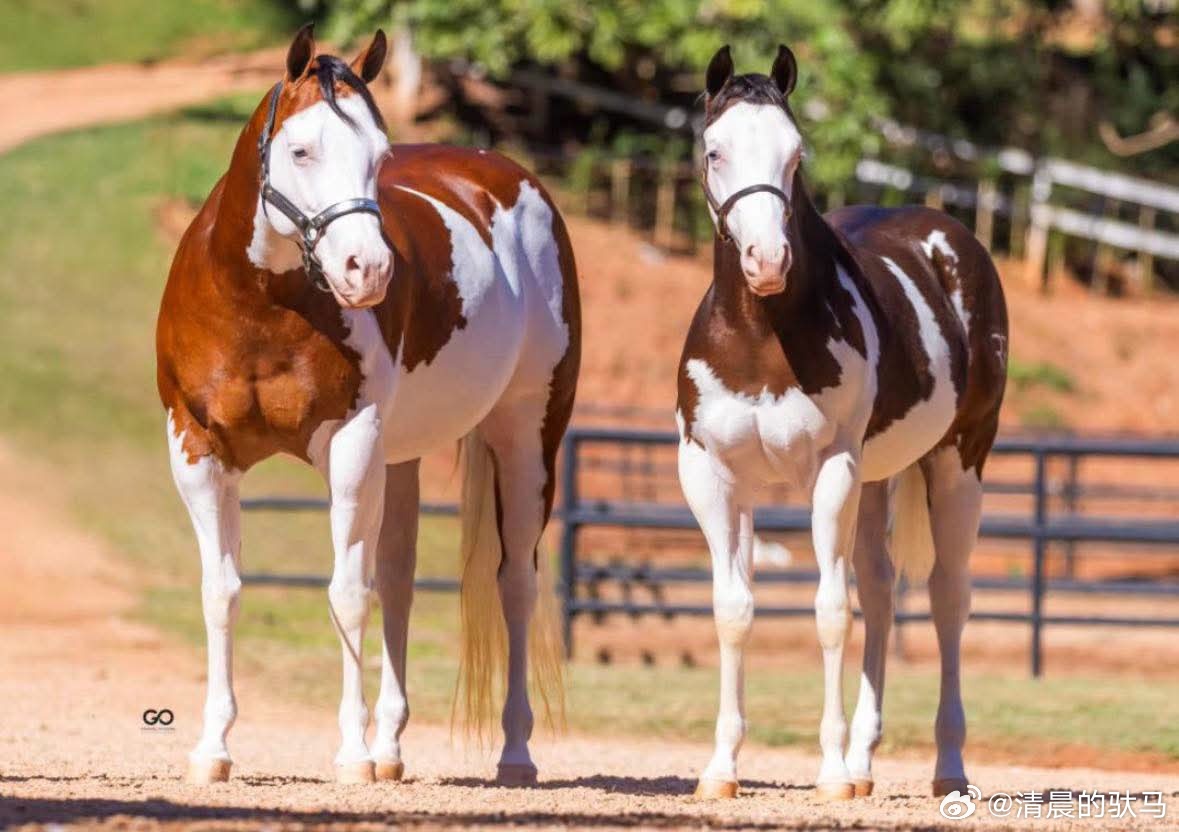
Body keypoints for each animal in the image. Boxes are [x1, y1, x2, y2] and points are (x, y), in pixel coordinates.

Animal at [156, 24, 580, 785]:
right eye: (300, 150)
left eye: (378, 157)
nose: (369, 271)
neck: (260, 306)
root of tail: (509, 177)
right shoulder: (197, 450)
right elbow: (221, 591)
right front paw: (213, 749)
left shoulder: (351, 445)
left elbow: (347, 593)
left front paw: (349, 754)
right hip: (401, 458)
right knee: (401, 581)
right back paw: (390, 751)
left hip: (526, 440)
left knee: (514, 585)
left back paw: (514, 752)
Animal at [677, 45, 1008, 801]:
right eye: (714, 151)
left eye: (795, 153)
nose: (767, 262)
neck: (761, 338)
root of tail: (946, 235)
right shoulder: (711, 474)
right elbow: (733, 610)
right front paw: (720, 769)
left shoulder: (832, 470)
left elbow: (831, 613)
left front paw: (826, 772)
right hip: (879, 478)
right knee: (883, 592)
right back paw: (862, 765)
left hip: (958, 462)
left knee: (946, 599)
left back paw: (947, 767)